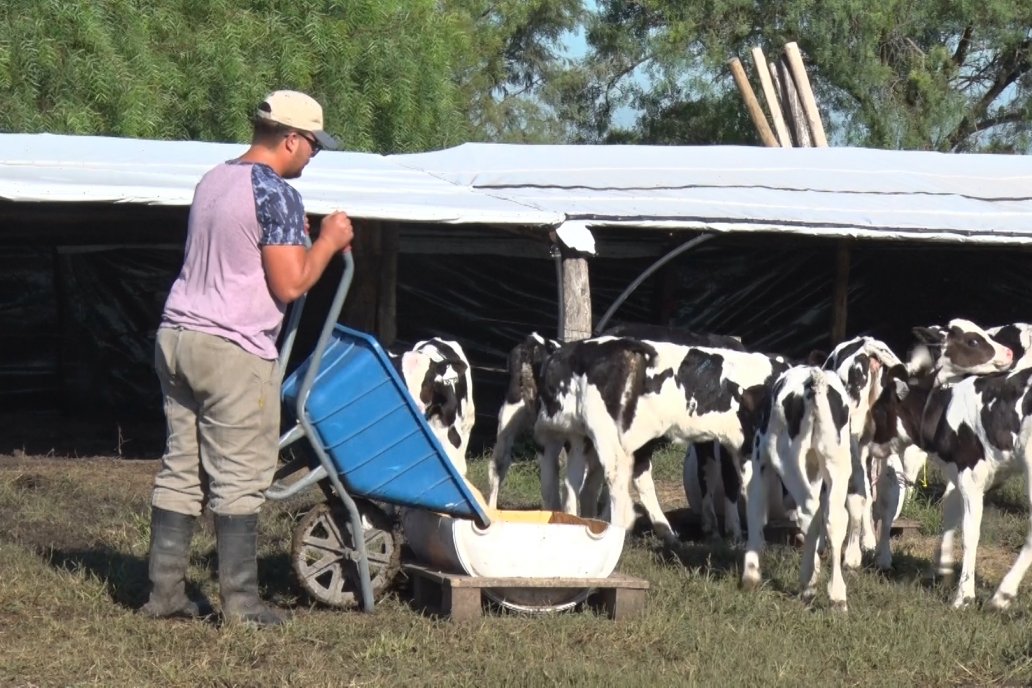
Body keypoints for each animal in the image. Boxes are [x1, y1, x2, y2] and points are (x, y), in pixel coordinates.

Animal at [536, 336, 784, 540]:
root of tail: (566, 351)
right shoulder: (744, 444)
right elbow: (738, 483)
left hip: (568, 435)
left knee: (567, 482)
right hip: (598, 435)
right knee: (613, 478)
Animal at [747, 369, 850, 610]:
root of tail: (815, 380)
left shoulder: (760, 462)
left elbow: (755, 511)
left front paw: (751, 576)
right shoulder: (814, 471)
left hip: (786, 458)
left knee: (808, 511)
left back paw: (808, 584)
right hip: (837, 461)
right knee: (833, 517)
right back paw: (837, 596)